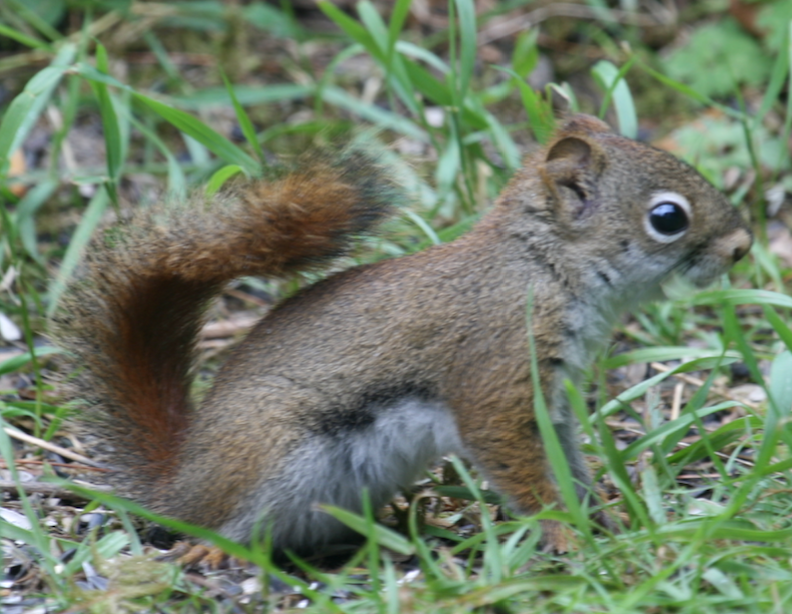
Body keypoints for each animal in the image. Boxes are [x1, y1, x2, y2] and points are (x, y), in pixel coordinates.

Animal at [52, 113, 752, 556]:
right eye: (667, 218)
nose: (743, 246)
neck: (544, 269)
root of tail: (178, 483)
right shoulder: (497, 372)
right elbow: (519, 463)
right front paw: (567, 537)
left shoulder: (549, 401)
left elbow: (567, 464)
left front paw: (604, 518)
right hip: (267, 453)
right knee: (218, 525)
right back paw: (220, 553)